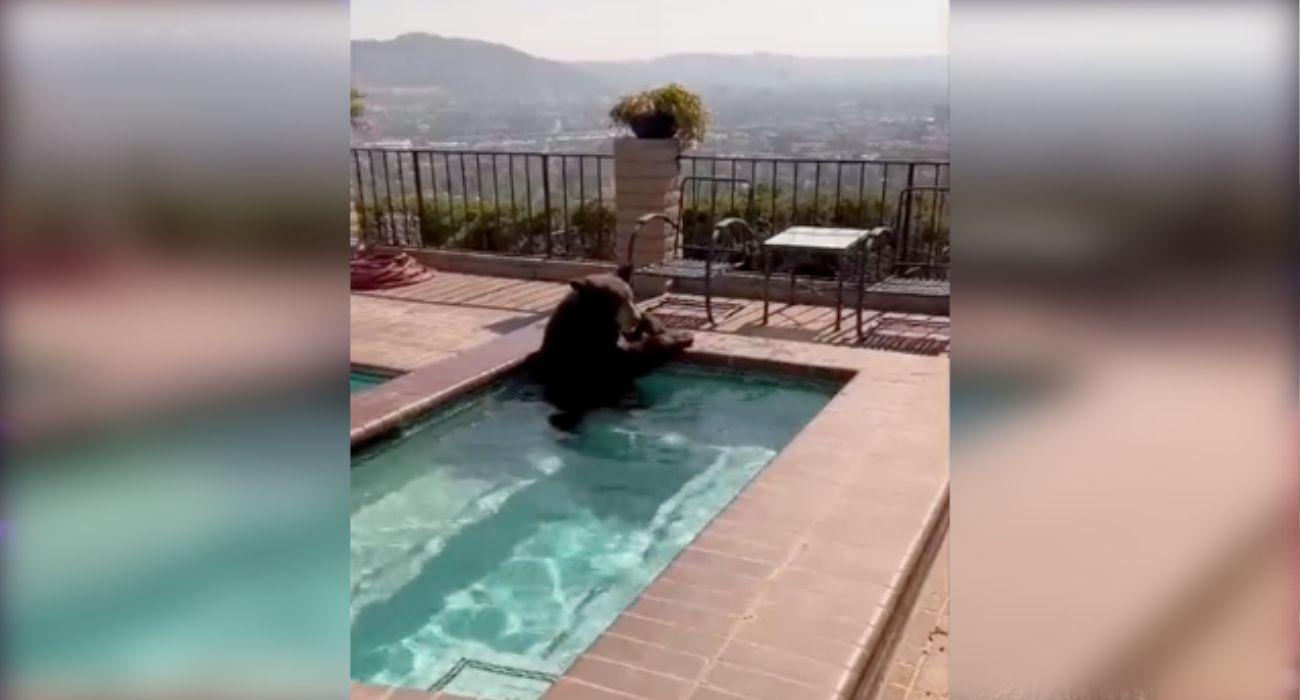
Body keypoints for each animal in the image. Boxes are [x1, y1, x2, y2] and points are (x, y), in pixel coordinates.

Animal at [526, 265, 693, 431]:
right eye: (616, 301)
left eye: (630, 297)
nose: (635, 318)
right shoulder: (581, 349)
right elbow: (622, 362)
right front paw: (682, 336)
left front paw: (652, 324)